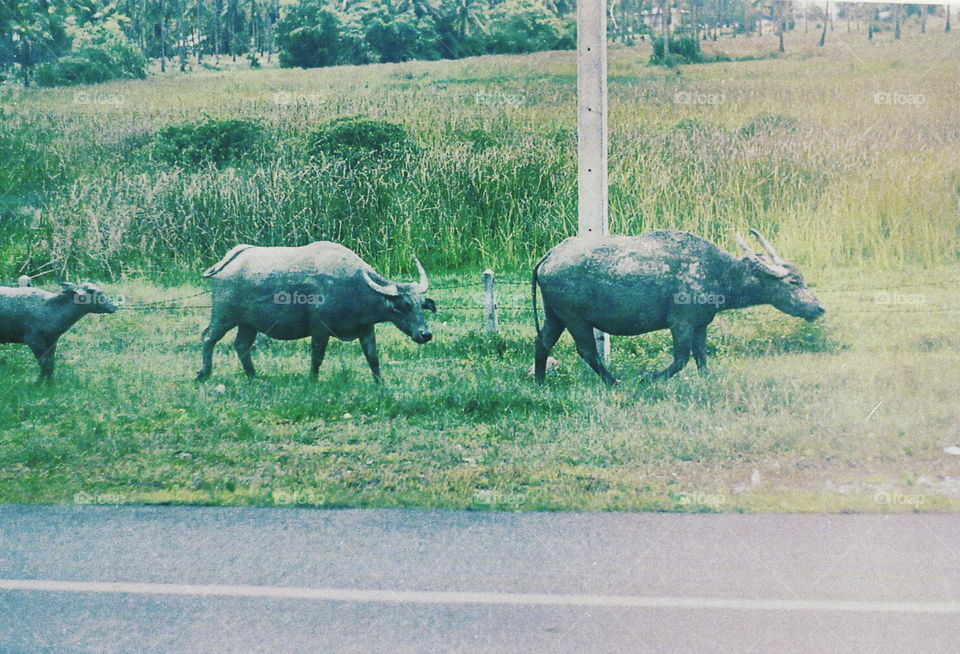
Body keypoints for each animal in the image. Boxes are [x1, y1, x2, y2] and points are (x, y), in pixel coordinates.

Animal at [197, 242, 436, 384]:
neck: (355, 288)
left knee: (241, 345)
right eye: (403, 306)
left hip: (248, 323)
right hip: (224, 316)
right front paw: (312, 380)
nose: (425, 334)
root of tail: (230, 259)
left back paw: (254, 376)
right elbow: (317, 357)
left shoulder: (367, 329)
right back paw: (204, 373)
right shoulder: (320, 329)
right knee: (208, 337)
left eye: (420, 304)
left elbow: (373, 358)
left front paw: (380, 383)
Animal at [532, 229, 824, 386]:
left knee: (542, 341)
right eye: (794, 281)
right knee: (587, 351)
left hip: (554, 316)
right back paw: (613, 381)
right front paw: (648, 378)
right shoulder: (681, 323)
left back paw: (540, 380)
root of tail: (550, 256)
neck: (718, 273)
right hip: (575, 319)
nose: (819, 308)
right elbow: (681, 358)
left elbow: (701, 356)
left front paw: (707, 379)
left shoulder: (701, 324)